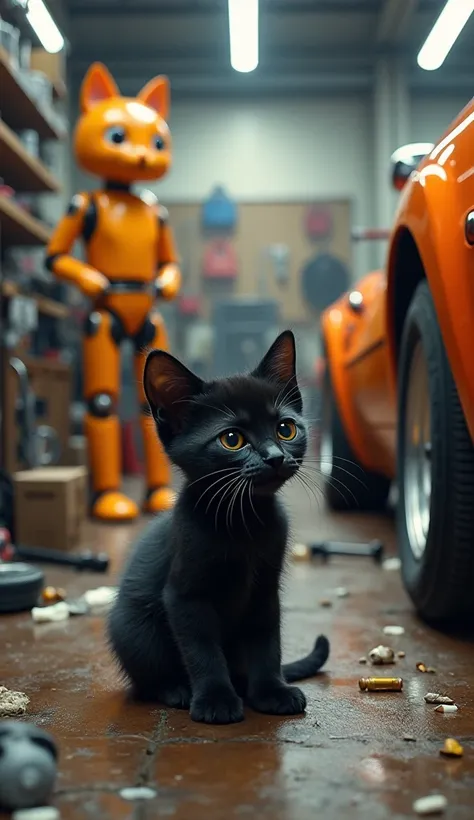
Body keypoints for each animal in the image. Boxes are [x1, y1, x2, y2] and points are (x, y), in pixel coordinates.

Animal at [46, 64, 181, 520]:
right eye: (116, 136)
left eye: (158, 142)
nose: (142, 158)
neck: (123, 190)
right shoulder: (78, 205)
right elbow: (55, 256)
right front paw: (95, 280)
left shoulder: (160, 213)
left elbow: (169, 264)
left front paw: (164, 284)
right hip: (102, 323)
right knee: (103, 403)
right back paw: (110, 501)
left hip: (150, 331)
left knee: (143, 404)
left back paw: (160, 496)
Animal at [109, 328, 328, 724]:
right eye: (232, 439)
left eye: (285, 429)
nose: (275, 457)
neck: (243, 523)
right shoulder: (185, 597)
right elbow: (202, 650)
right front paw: (215, 699)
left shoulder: (265, 590)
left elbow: (266, 642)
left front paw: (271, 691)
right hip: (131, 627)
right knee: (148, 678)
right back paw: (177, 690)